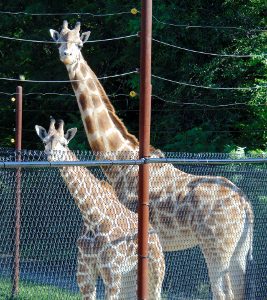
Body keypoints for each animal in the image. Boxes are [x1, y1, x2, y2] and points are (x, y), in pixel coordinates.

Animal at [35, 118, 165, 300]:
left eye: (64, 143)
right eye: (44, 142)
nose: (51, 156)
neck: (92, 217)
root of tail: (154, 234)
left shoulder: (111, 271)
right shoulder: (84, 271)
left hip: (155, 268)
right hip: (129, 276)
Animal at [49, 21, 255, 300]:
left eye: (79, 43)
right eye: (59, 41)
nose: (66, 56)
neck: (119, 158)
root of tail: (245, 205)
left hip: (216, 244)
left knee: (222, 292)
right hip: (238, 248)